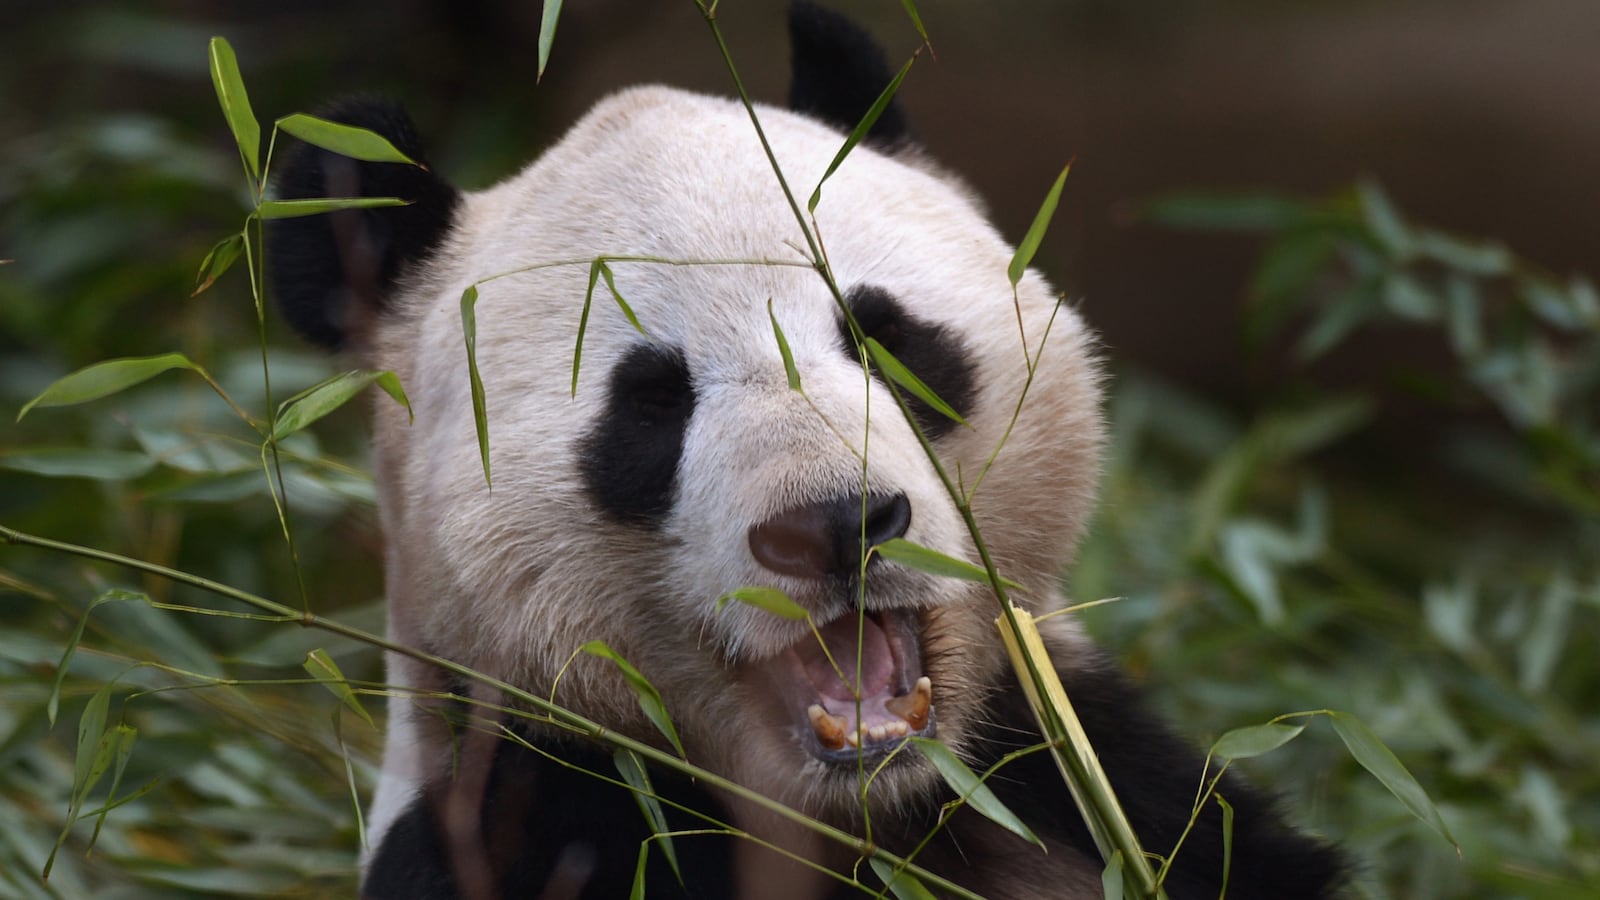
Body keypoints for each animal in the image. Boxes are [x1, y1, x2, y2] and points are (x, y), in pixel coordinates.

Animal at [269, 5, 1345, 899]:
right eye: (651, 404)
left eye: (878, 337)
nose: (834, 524)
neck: (868, 806)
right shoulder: (528, 813)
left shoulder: (1076, 778)